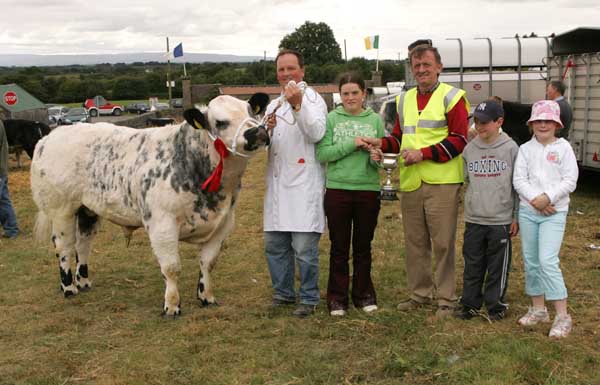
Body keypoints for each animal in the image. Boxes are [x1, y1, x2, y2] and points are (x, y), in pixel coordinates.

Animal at [29, 93, 270, 316]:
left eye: (252, 111)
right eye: (220, 122)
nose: (257, 132)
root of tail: (49, 138)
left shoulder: (223, 224)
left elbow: (208, 263)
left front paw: (206, 297)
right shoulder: (162, 225)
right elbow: (171, 268)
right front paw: (172, 306)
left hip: (88, 210)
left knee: (83, 244)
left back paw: (84, 282)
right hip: (61, 210)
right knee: (64, 247)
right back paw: (69, 287)